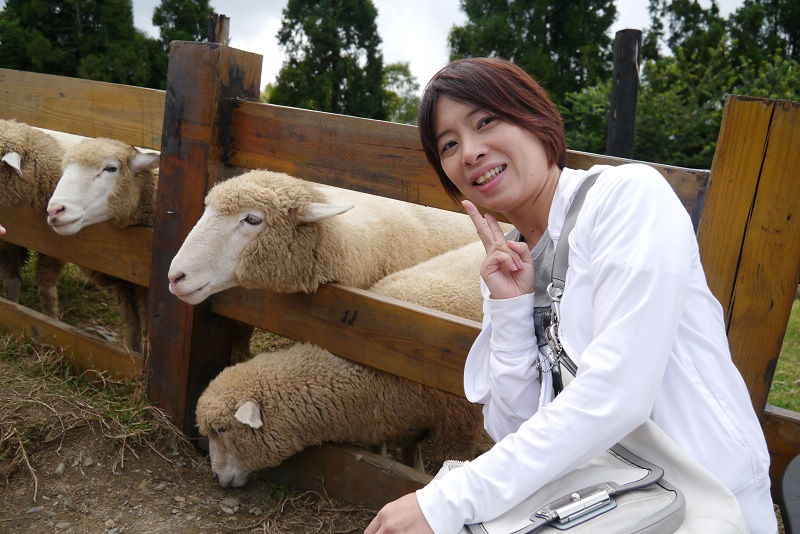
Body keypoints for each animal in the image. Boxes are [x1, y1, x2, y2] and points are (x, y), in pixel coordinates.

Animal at [0, 119, 68, 317]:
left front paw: (52, 317)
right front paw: (12, 308)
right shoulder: (9, 242)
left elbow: (45, 290)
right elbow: (11, 282)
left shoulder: (56, 251)